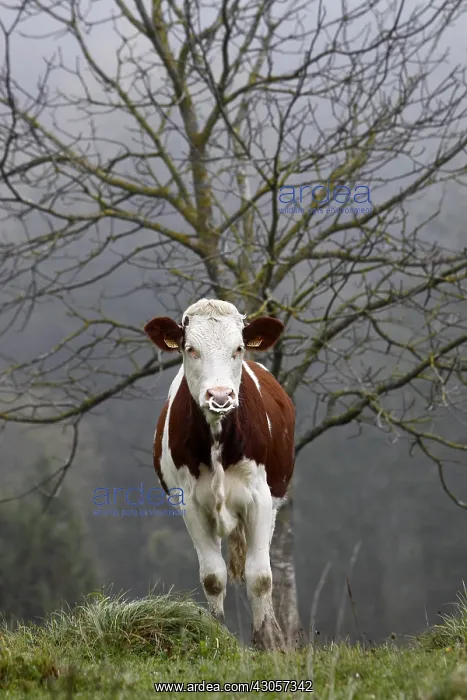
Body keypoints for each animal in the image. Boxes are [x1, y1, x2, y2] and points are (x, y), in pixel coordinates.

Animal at [144, 299, 295, 649]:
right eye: (190, 349)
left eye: (238, 348)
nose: (221, 396)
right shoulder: (191, 505)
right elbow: (213, 577)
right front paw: (216, 633)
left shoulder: (260, 499)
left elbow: (260, 576)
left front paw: (269, 639)